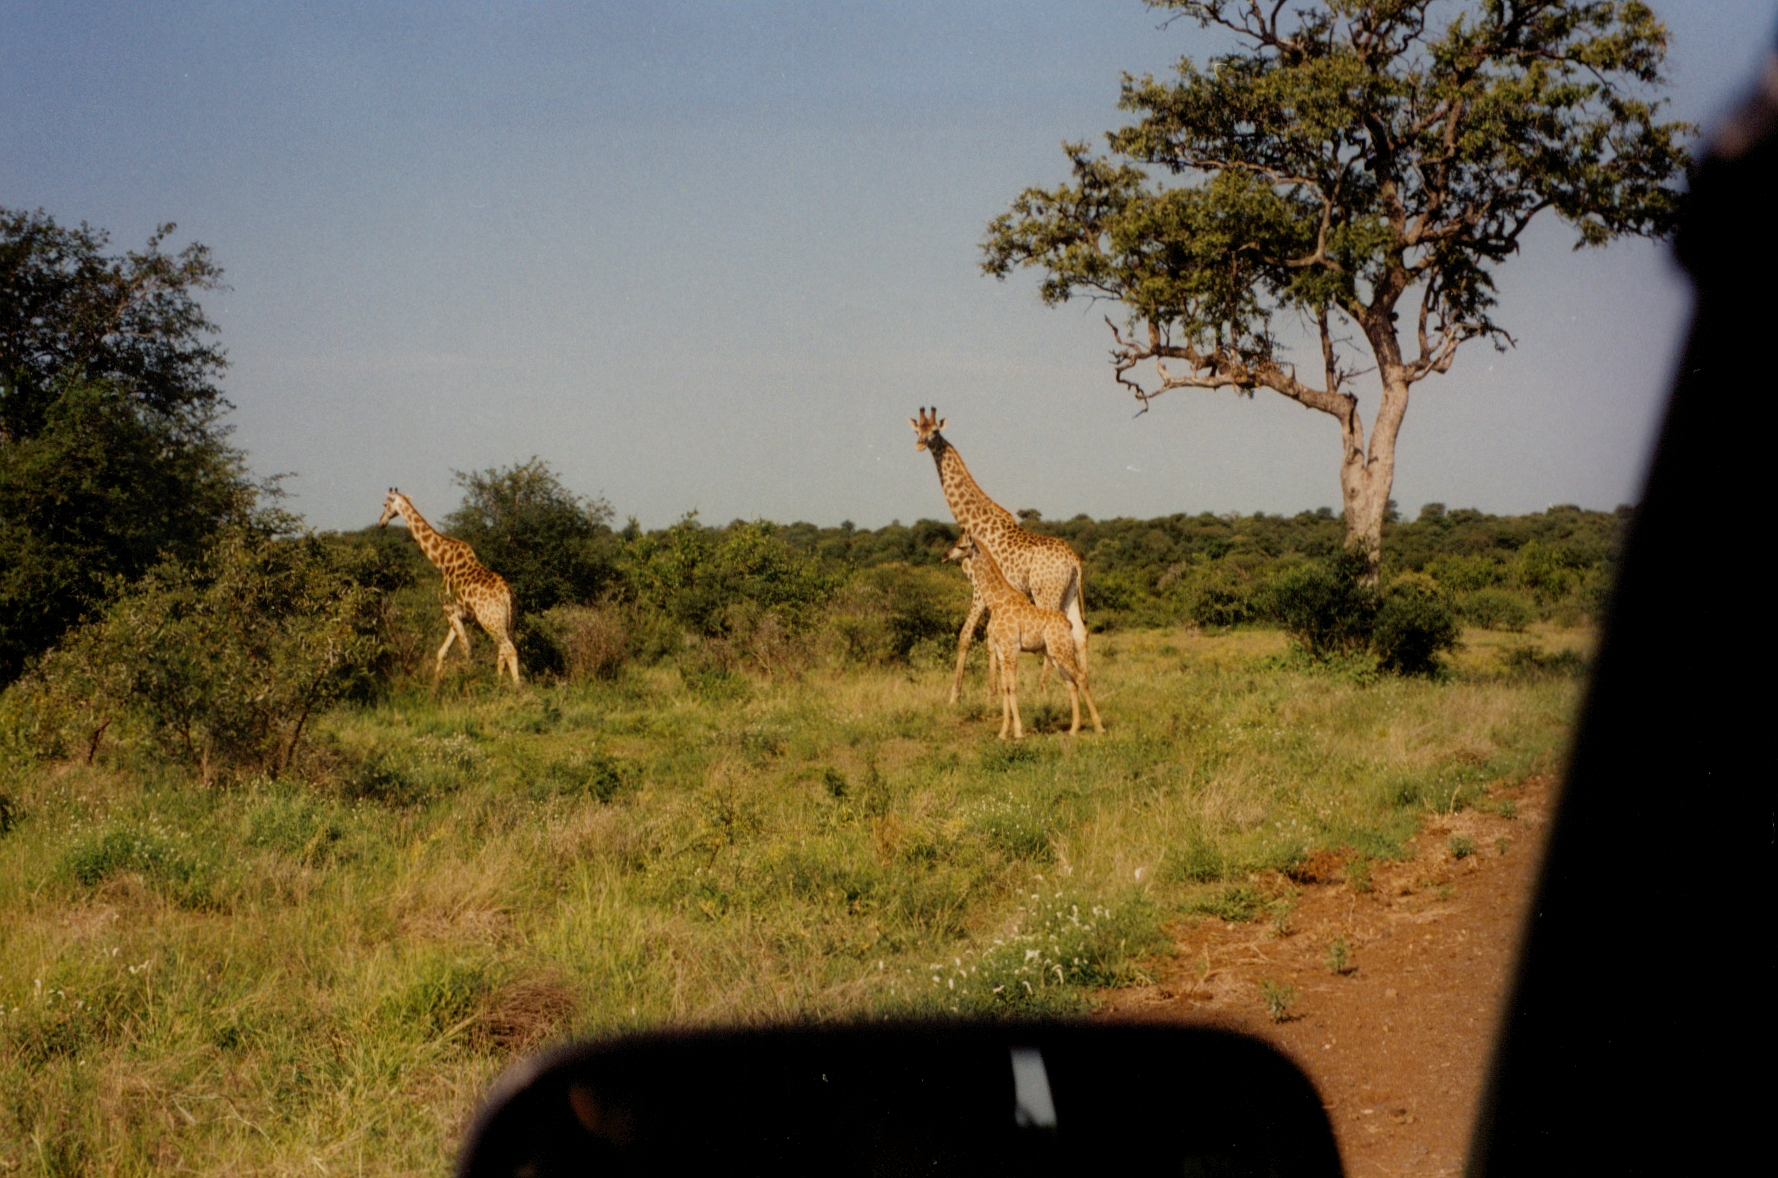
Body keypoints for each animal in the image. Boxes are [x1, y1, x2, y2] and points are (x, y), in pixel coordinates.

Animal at [378, 489, 522, 685]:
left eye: (385, 504)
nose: (381, 522)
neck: (441, 560)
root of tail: (507, 595)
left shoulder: (449, 611)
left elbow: (466, 651)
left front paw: (469, 682)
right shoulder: (459, 615)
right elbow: (442, 652)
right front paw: (435, 687)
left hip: (491, 621)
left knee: (509, 649)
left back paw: (518, 689)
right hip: (509, 621)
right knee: (504, 651)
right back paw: (499, 685)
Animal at [910, 407, 1086, 703]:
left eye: (934, 431)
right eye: (916, 430)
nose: (920, 444)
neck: (976, 520)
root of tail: (1075, 562)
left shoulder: (978, 589)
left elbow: (967, 636)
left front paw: (956, 695)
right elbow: (989, 640)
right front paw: (992, 693)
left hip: (1046, 592)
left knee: (1058, 629)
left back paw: (1042, 690)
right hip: (1069, 592)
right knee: (1081, 632)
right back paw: (1084, 679)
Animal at [945, 533, 1102, 739]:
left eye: (961, 546)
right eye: (955, 542)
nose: (945, 556)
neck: (997, 601)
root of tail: (1067, 624)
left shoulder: (1011, 647)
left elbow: (1012, 686)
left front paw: (1018, 731)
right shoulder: (1001, 649)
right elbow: (1005, 687)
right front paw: (1003, 732)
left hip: (1061, 649)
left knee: (1081, 677)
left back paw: (1099, 726)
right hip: (1055, 653)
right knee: (1071, 682)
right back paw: (1073, 729)